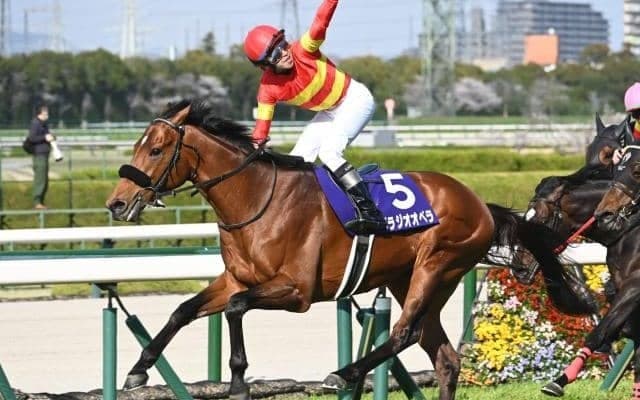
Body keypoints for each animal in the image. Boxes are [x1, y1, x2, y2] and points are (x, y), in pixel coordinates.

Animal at [106, 100, 594, 400]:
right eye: (137, 145)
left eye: (156, 149)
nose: (116, 203)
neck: (257, 199)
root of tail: (479, 204)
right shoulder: (235, 278)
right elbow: (183, 310)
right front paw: (138, 369)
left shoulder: (296, 291)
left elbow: (237, 308)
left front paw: (240, 381)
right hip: (409, 279)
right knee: (445, 358)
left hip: (436, 266)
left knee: (404, 333)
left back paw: (343, 373)